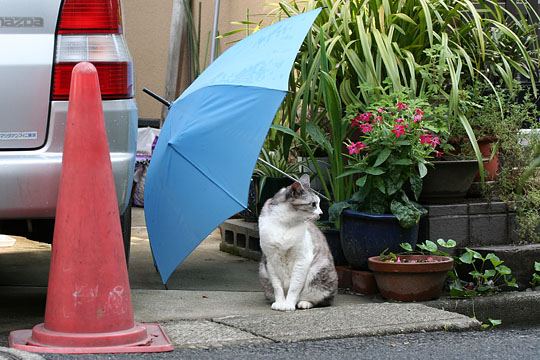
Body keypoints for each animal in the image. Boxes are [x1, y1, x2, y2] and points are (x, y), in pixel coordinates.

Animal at [258, 174, 338, 310]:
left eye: (319, 203)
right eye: (313, 204)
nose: (321, 213)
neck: (285, 223)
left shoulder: (302, 259)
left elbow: (295, 286)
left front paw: (289, 304)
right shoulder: (270, 259)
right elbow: (277, 287)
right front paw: (280, 303)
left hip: (318, 271)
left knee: (320, 299)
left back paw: (303, 303)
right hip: (263, 272)